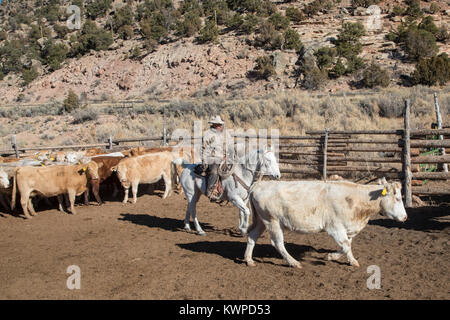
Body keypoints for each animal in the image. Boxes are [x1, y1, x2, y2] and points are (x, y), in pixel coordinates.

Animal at [244, 179, 410, 268]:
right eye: (397, 199)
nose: (405, 217)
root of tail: (259, 184)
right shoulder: (335, 227)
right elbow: (346, 245)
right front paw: (334, 257)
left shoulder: (347, 228)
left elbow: (347, 245)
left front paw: (345, 259)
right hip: (272, 221)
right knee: (277, 243)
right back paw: (294, 262)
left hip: (262, 221)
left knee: (252, 236)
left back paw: (249, 260)